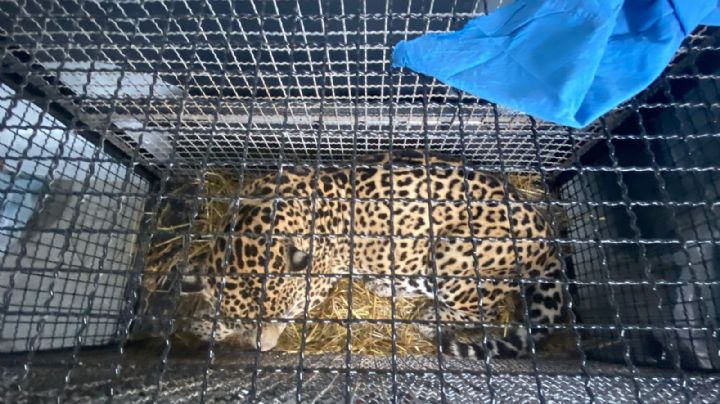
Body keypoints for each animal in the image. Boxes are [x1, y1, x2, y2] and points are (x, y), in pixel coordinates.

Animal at [171, 150, 565, 359]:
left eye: (290, 314)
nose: (265, 349)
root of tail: (548, 238)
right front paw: (204, 322)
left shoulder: (321, 277)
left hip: (454, 255)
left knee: (479, 310)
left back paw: (422, 314)